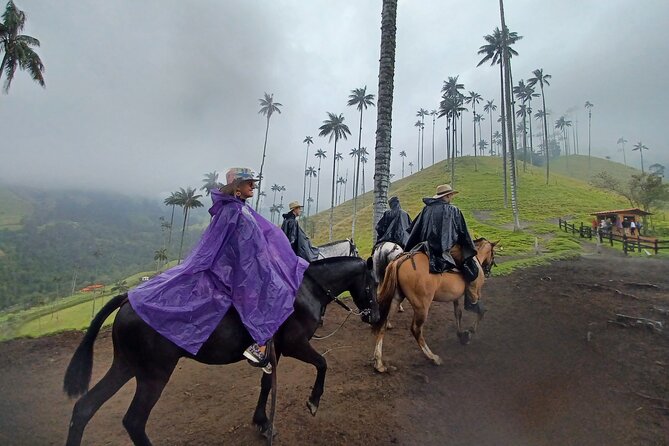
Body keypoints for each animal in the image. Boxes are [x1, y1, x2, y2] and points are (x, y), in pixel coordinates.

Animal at [64, 256, 378, 444]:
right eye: (373, 283)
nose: (374, 317)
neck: (304, 290)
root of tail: (128, 299)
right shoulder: (295, 345)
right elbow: (323, 364)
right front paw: (313, 402)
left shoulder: (274, 351)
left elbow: (266, 384)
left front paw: (262, 422)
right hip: (153, 375)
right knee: (133, 421)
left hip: (126, 366)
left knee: (84, 408)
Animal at [370, 237, 496, 372]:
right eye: (493, 253)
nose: (488, 271)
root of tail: (401, 260)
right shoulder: (476, 293)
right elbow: (481, 311)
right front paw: (469, 333)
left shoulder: (456, 297)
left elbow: (458, 313)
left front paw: (461, 334)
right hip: (422, 306)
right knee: (416, 330)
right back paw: (433, 357)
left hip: (395, 298)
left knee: (383, 325)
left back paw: (379, 363)